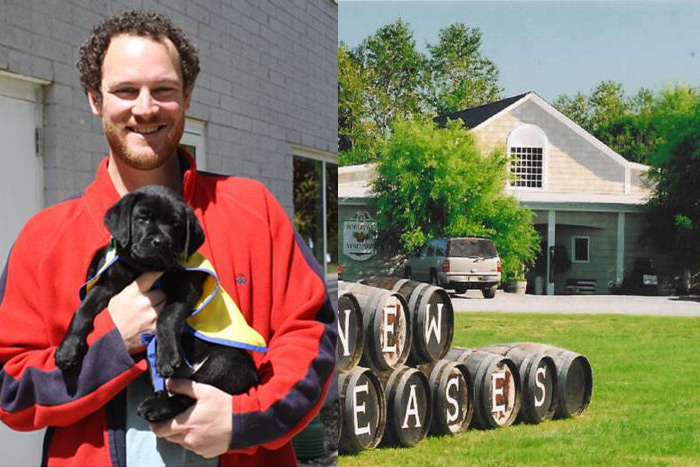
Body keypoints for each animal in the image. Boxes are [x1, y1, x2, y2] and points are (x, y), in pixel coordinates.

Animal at [53, 186, 258, 424]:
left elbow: (167, 317)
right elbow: (83, 310)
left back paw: (157, 406)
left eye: (176, 224)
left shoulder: (186, 288)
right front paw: (68, 350)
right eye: (142, 218)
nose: (161, 242)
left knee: (191, 395)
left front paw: (166, 355)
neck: (143, 269)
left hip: (223, 364)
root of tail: (253, 375)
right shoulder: (107, 284)